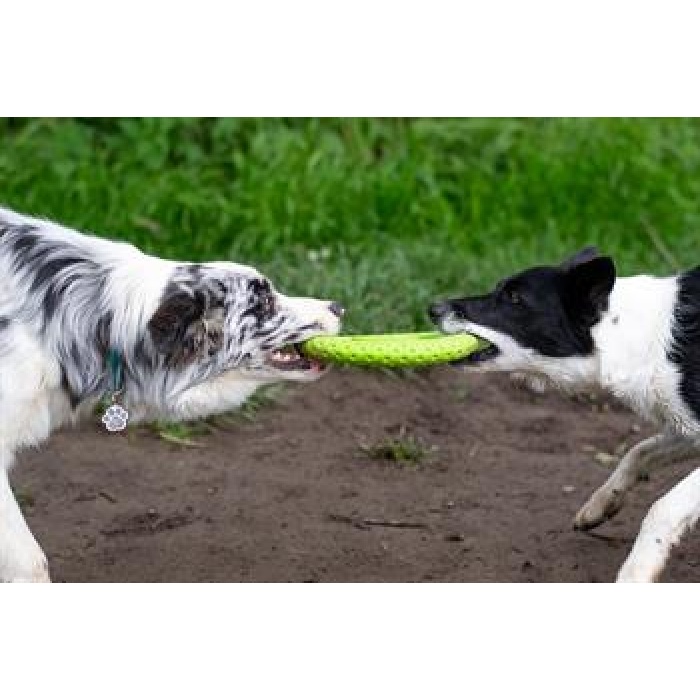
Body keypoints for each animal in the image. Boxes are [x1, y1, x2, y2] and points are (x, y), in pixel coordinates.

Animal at [430, 249, 700, 584]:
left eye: (514, 297)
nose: (432, 309)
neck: (638, 337)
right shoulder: (686, 429)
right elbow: (637, 452)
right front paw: (600, 505)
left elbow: (663, 507)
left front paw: (635, 574)